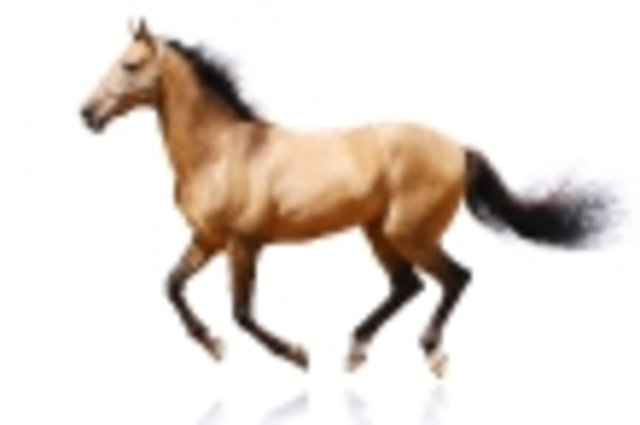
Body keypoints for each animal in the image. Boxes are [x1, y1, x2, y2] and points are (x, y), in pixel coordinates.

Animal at [80, 20, 613, 377]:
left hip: (407, 232)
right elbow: (172, 286)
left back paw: (432, 353)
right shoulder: (207, 240)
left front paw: (297, 356)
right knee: (408, 286)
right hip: (377, 232)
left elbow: (243, 313)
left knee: (454, 278)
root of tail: (458, 148)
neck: (223, 151)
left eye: (130, 65)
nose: (87, 113)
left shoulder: (242, 244)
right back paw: (357, 350)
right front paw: (212, 346)